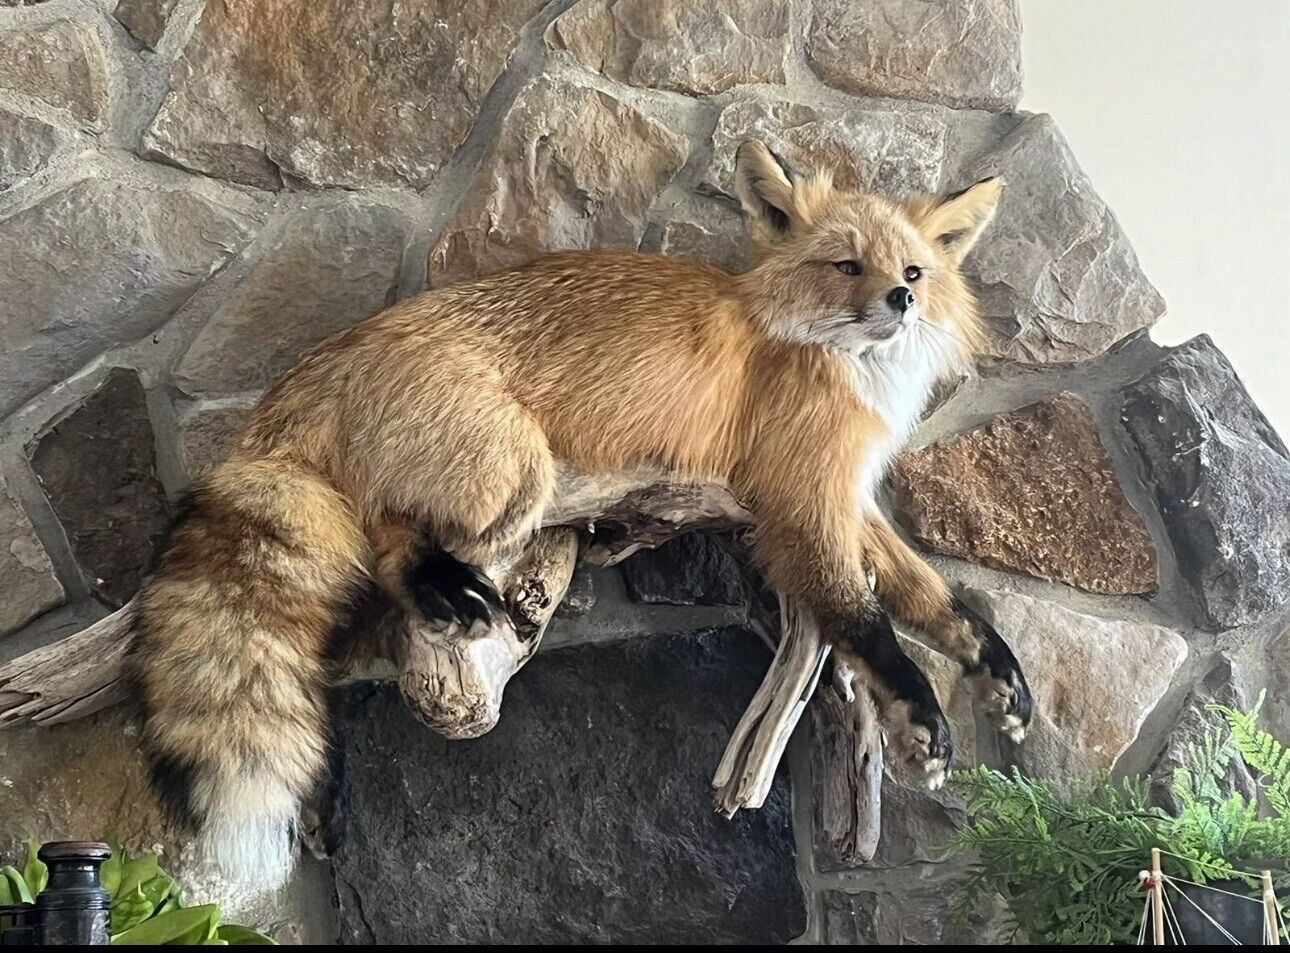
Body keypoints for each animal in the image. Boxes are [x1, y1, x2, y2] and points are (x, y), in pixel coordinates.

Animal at [129, 139, 1032, 887]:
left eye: (912, 272)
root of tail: (321, 362)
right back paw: (437, 586)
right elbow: (863, 617)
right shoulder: (800, 502)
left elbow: (934, 596)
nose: (899, 303)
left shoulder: (846, 496)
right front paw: (921, 715)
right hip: (518, 468)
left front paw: (997, 673)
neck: (833, 363)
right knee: (384, 540)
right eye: (847, 266)